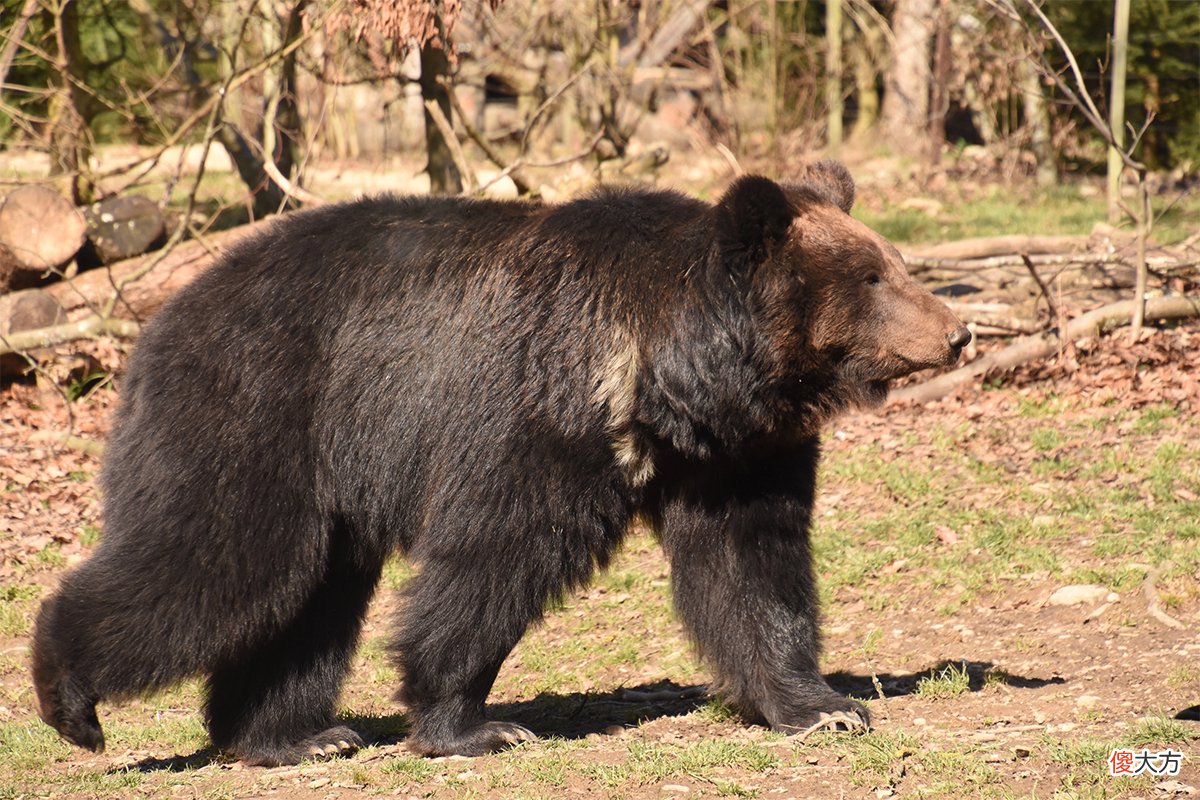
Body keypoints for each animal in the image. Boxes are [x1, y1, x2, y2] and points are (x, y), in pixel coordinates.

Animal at [32, 161, 970, 766]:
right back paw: (73, 702)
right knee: (222, 560)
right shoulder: (538, 408)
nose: (960, 332)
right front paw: (473, 724)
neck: (667, 376)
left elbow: (752, 565)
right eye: (873, 276)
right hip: (259, 413)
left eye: (893, 264)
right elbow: (495, 552)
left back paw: (293, 736)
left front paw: (823, 706)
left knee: (307, 596)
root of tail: (161, 317)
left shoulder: (736, 454)